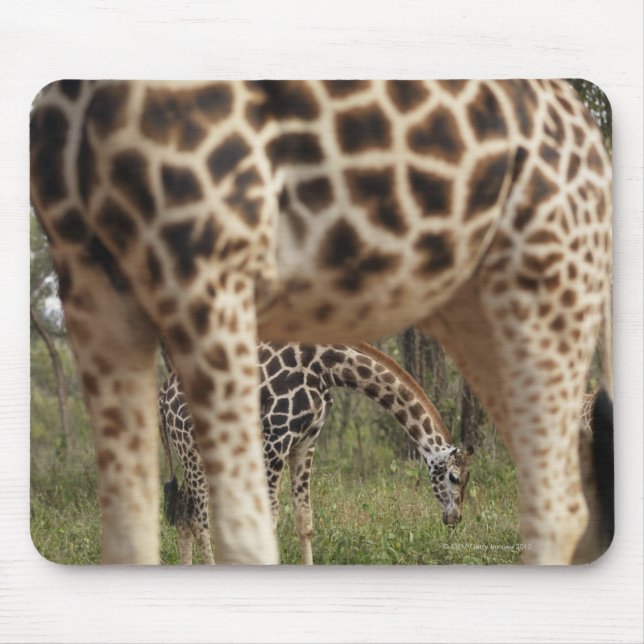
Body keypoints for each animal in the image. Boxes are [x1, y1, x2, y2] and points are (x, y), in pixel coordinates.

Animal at [159, 341, 472, 564]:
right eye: (454, 478)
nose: (455, 518)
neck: (327, 367)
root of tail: (164, 395)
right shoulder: (276, 440)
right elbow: (271, 519)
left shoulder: (304, 444)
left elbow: (304, 518)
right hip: (192, 450)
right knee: (198, 518)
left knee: (183, 512)